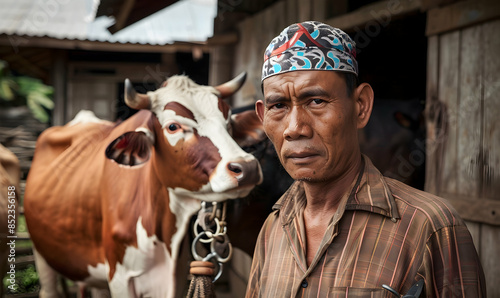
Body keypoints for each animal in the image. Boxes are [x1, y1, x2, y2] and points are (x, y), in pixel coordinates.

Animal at [24, 73, 262, 298]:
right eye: (173, 126)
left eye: (229, 123)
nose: (247, 167)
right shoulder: (120, 277)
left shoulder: (174, 277)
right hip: (42, 251)